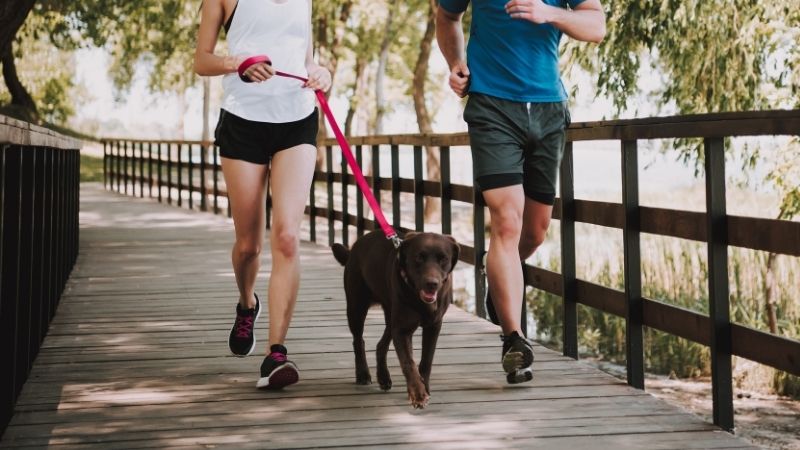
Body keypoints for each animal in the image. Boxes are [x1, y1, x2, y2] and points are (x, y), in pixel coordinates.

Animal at [332, 230, 460, 410]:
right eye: (419, 257)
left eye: (443, 259)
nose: (432, 284)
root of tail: (355, 247)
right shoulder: (402, 330)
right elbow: (408, 363)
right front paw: (418, 394)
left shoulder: (433, 326)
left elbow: (426, 361)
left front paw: (425, 388)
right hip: (356, 307)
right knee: (358, 340)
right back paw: (363, 374)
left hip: (391, 315)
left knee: (381, 344)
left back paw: (383, 376)